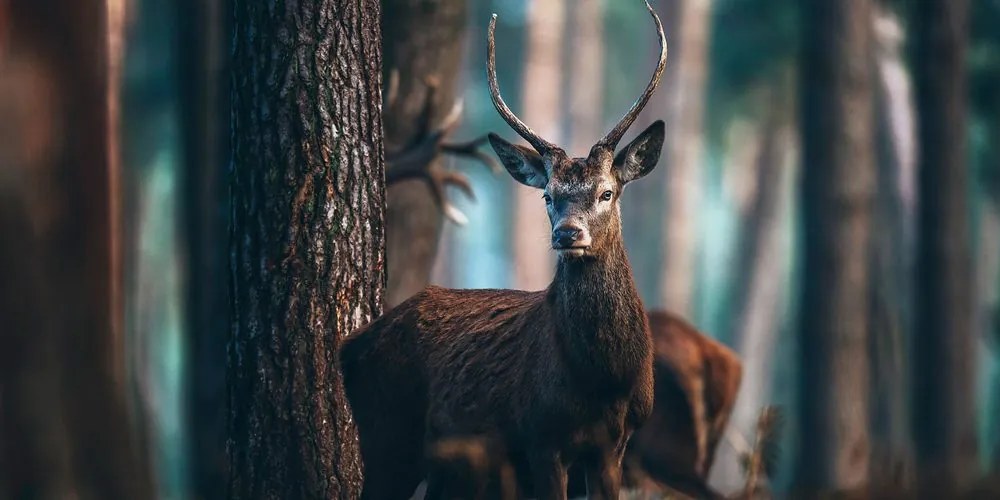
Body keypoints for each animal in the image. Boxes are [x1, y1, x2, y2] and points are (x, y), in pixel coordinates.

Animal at [340, 1, 668, 498]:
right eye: (548, 195)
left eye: (607, 192)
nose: (567, 234)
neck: (603, 378)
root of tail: (349, 346)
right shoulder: (541, 437)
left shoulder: (616, 443)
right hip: (389, 435)